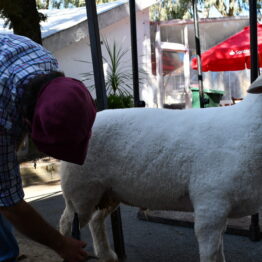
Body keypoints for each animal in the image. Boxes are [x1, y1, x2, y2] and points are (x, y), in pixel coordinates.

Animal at [59, 75, 262, 262]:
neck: (248, 128)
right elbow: (211, 253)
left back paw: (107, 255)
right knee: (66, 223)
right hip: (80, 191)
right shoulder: (210, 205)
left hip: (108, 192)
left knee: (95, 220)